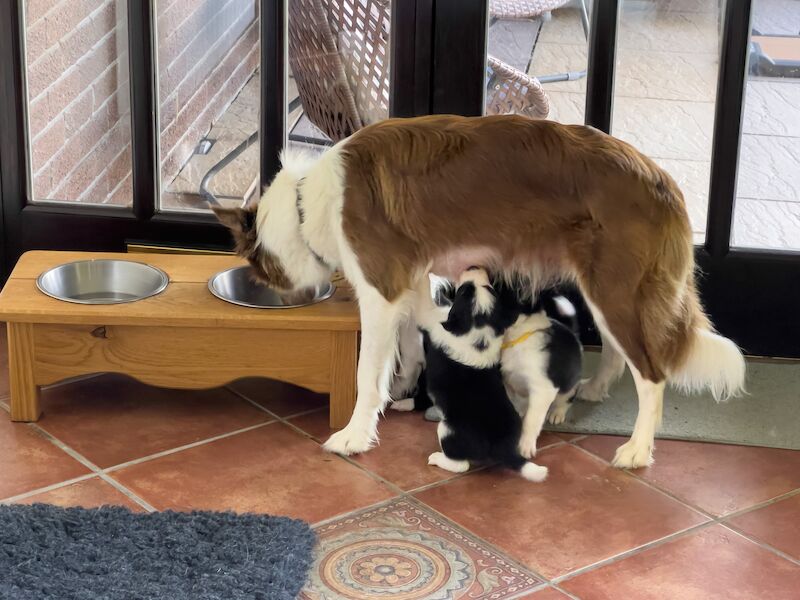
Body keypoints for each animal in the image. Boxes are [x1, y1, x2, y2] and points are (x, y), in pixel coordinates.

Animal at [412, 268, 552, 482]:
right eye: (489, 287)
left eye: (463, 291)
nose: (474, 267)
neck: (479, 324)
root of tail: (506, 451)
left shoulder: (433, 318)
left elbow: (425, 297)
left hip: (447, 430)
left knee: (461, 465)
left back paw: (437, 458)